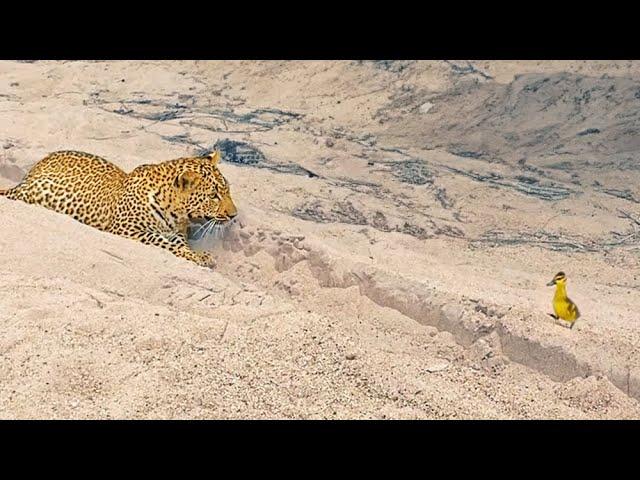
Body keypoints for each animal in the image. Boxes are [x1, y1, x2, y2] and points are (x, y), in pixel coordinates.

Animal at [0, 150, 238, 266]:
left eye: (227, 190)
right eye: (214, 196)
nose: (234, 215)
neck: (175, 213)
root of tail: (29, 174)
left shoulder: (177, 233)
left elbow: (179, 244)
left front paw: (198, 255)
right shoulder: (127, 230)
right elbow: (161, 242)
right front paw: (198, 257)